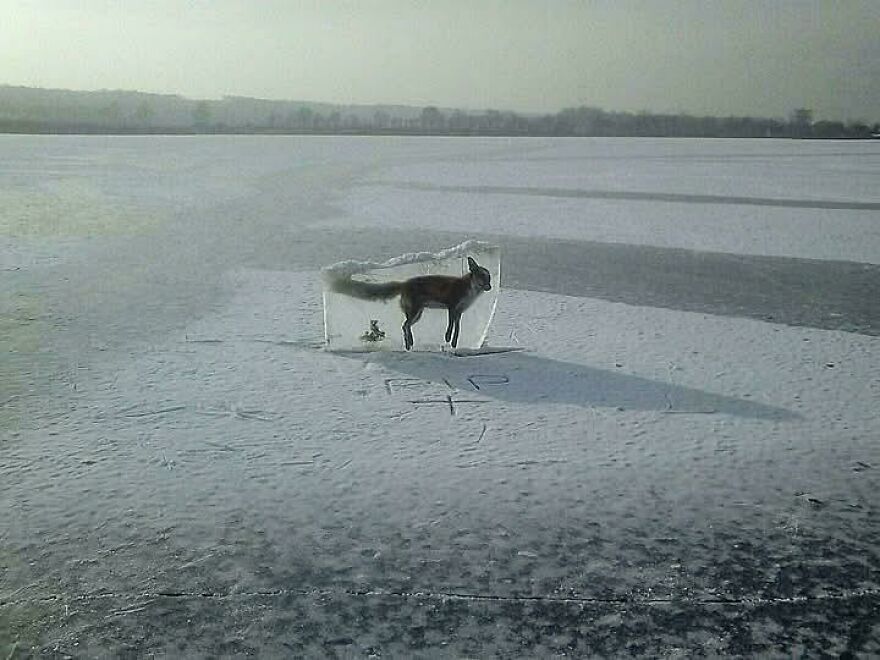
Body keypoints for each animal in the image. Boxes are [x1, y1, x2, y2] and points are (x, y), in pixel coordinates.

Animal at [329, 256, 492, 350]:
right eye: (481, 277)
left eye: (489, 278)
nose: (490, 287)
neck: (469, 291)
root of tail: (404, 283)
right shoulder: (451, 307)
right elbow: (450, 327)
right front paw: (447, 338)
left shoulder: (459, 312)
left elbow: (457, 330)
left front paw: (453, 344)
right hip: (415, 312)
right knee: (404, 326)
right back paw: (408, 344)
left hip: (418, 314)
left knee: (405, 326)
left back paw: (410, 343)